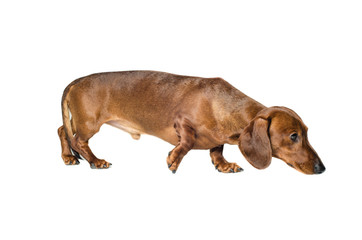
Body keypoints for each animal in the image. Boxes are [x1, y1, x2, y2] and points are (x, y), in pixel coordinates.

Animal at [58, 71, 326, 174]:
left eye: (306, 132)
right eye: (293, 136)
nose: (321, 168)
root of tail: (76, 81)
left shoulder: (219, 139)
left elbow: (217, 150)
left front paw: (225, 165)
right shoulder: (182, 122)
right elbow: (186, 142)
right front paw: (174, 159)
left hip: (79, 121)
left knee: (62, 130)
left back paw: (69, 158)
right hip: (89, 123)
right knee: (77, 140)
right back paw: (95, 161)